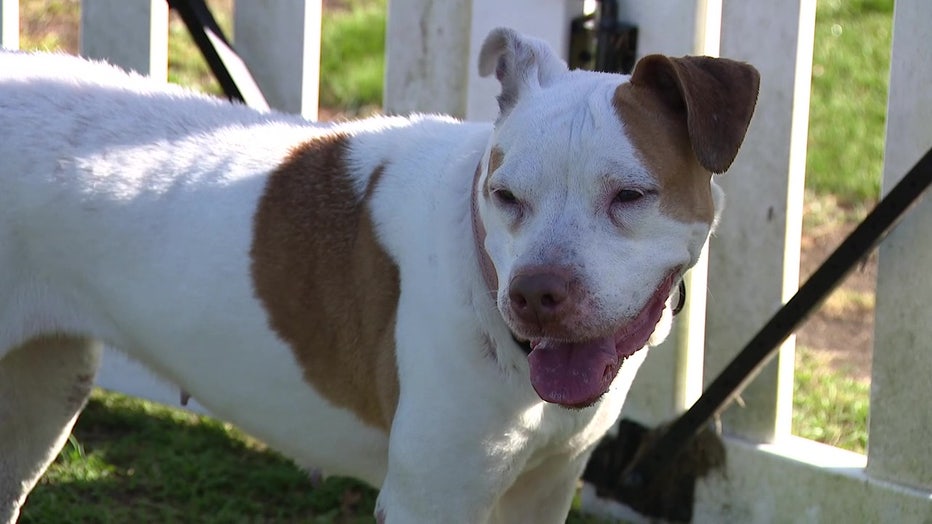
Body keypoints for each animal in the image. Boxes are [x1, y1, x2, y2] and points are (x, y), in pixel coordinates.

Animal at [0, 27, 756, 524]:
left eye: (630, 195)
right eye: (506, 196)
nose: (535, 294)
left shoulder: (543, 491)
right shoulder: (433, 499)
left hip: (43, 392)